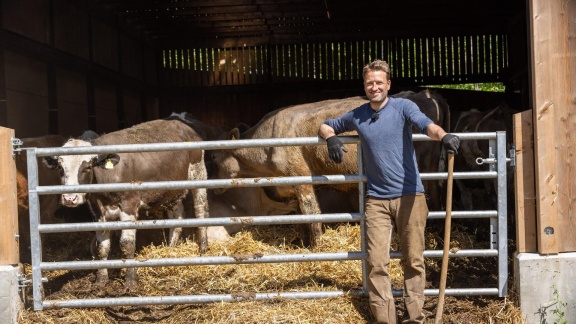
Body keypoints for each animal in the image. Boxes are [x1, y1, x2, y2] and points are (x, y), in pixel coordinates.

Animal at [42, 114, 210, 288]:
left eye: (87, 167)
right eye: (60, 168)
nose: (70, 198)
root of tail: (179, 117)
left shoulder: (129, 205)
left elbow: (127, 244)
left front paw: (130, 281)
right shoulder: (98, 211)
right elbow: (102, 247)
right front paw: (101, 280)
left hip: (198, 173)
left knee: (200, 209)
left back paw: (203, 249)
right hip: (171, 189)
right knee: (177, 215)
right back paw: (170, 249)